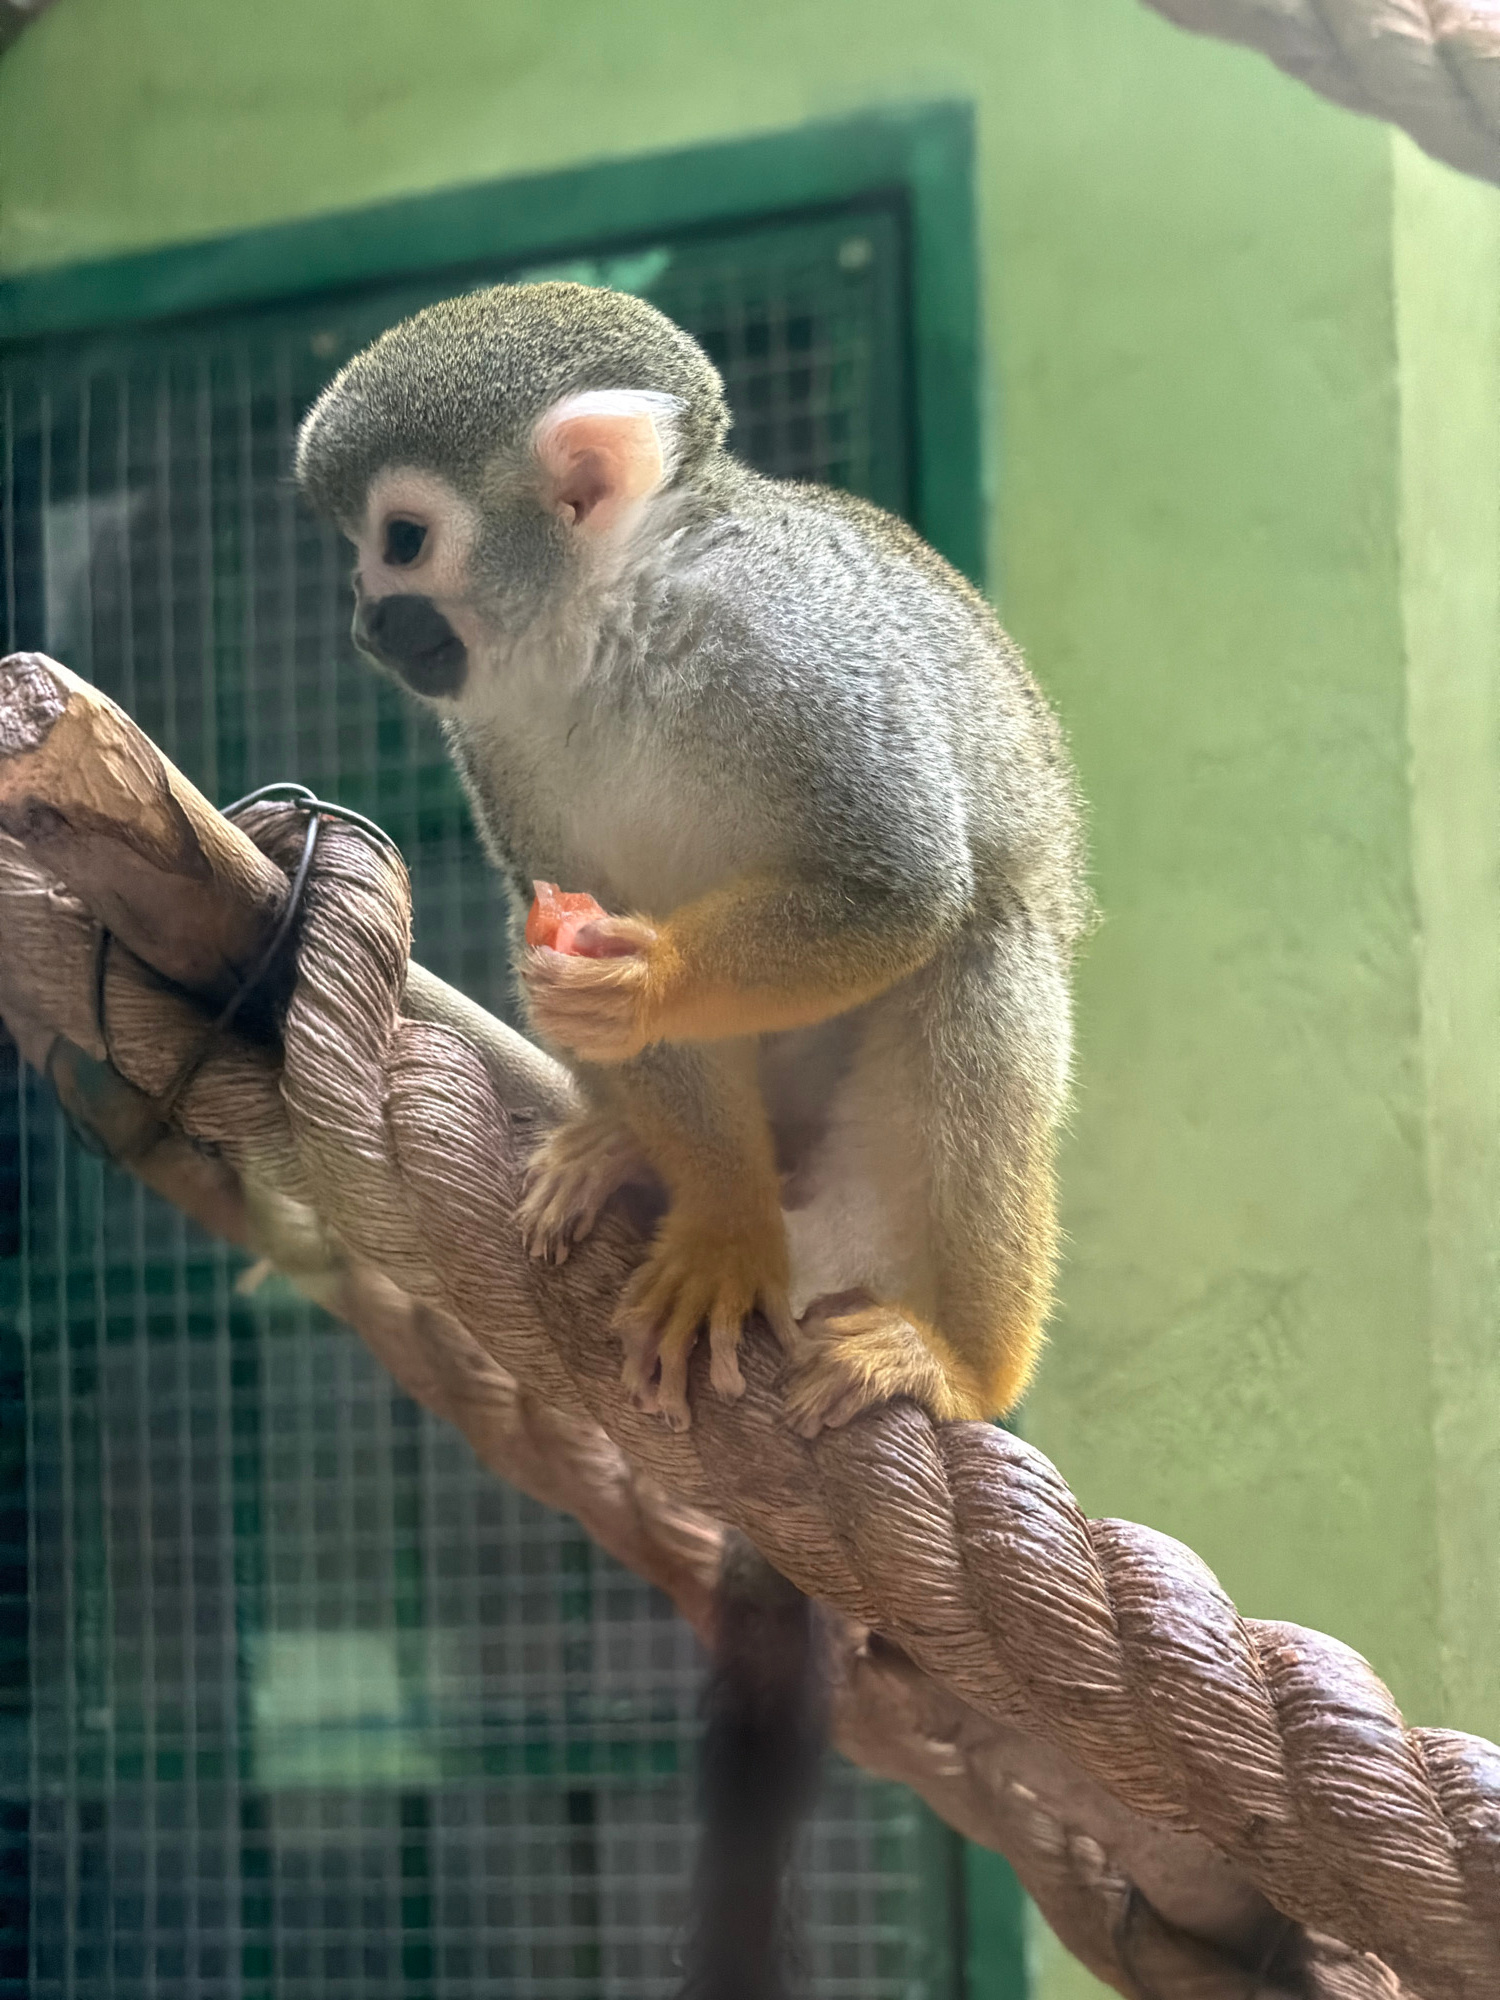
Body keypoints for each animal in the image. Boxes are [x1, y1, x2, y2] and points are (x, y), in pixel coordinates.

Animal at [294, 279, 1089, 1448]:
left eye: (401, 539)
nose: (361, 622)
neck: (614, 625)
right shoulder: (490, 730)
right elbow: (563, 912)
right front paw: (723, 1227)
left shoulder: (788, 634)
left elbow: (899, 882)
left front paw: (649, 982)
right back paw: (629, 1149)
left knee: (980, 955)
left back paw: (961, 1365)